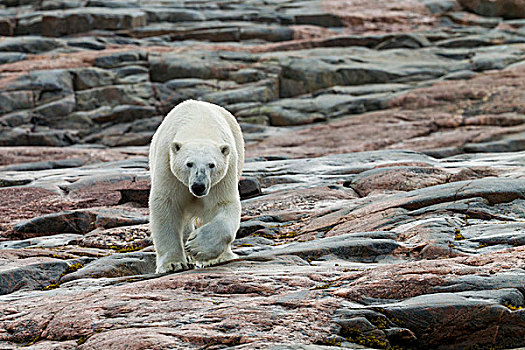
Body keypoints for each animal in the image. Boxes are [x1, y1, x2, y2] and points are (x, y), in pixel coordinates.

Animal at [148, 100, 245, 272]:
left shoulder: (225, 174)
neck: (199, 125)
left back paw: (221, 257)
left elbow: (223, 204)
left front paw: (197, 247)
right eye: (189, 163)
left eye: (212, 165)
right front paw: (172, 263)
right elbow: (166, 204)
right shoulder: (167, 165)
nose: (198, 186)